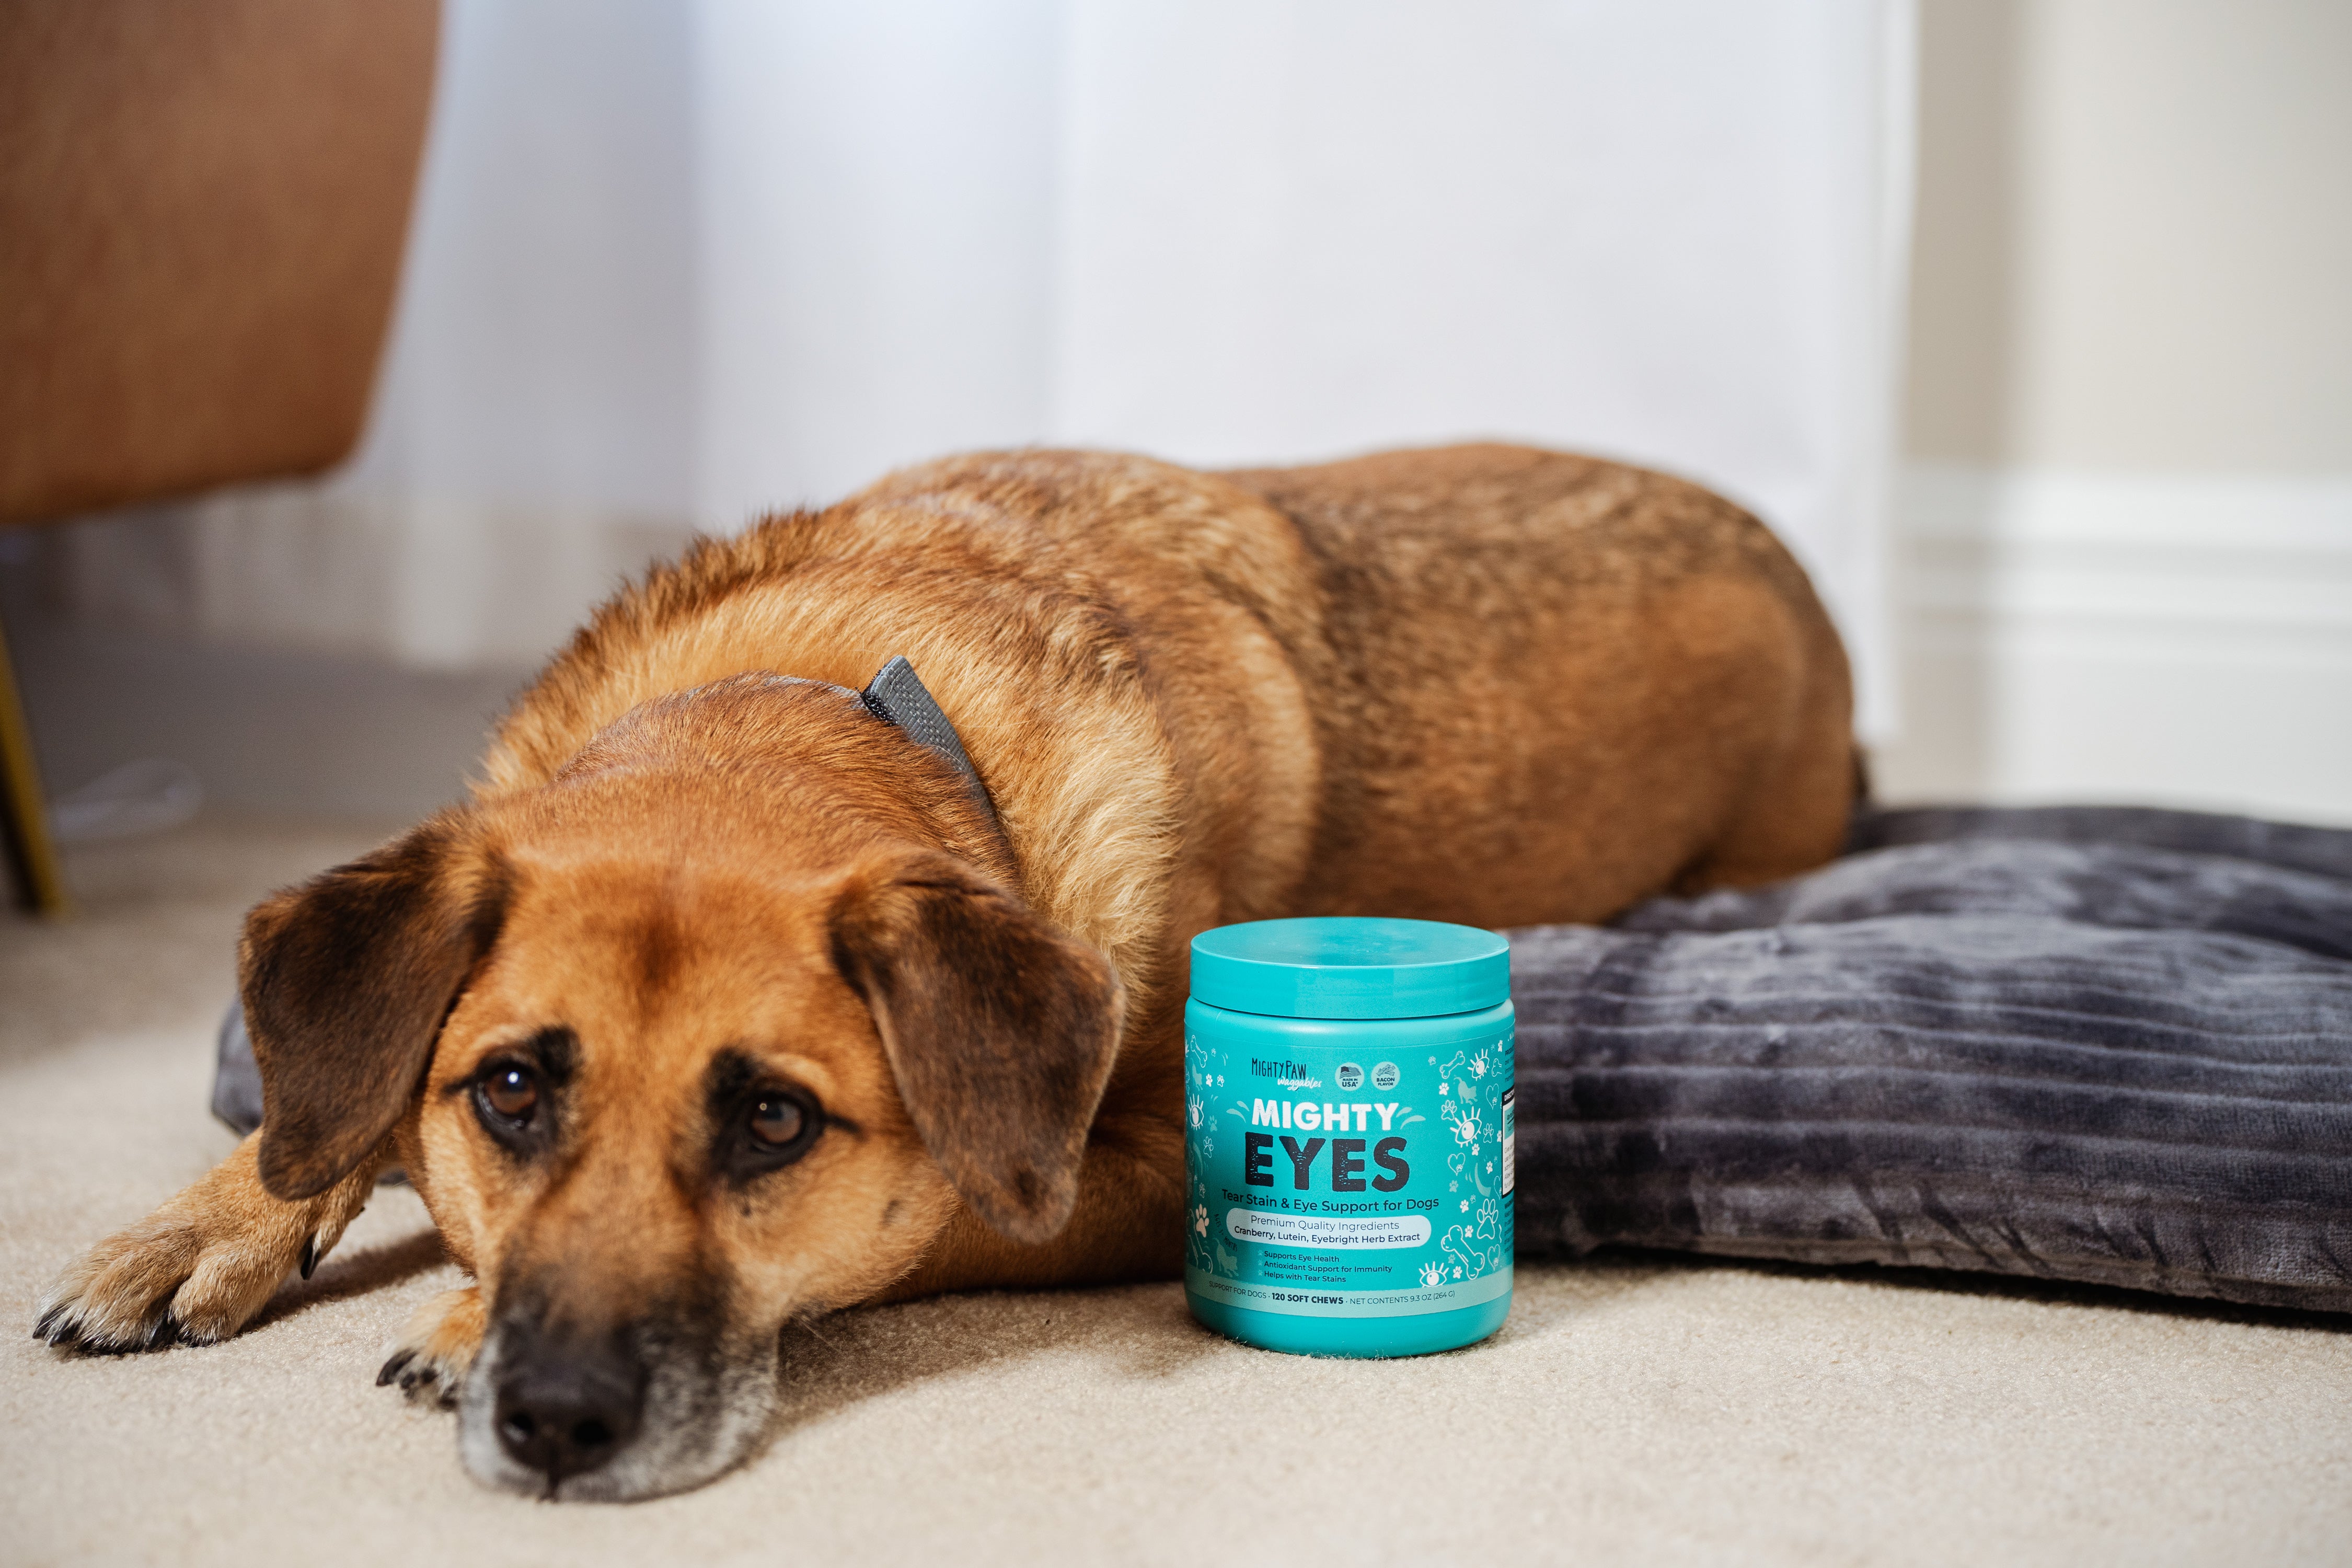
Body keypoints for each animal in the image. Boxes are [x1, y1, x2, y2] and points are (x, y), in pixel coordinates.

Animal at [27, 446, 1844, 1504]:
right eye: (514, 1090)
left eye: (774, 1125)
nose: (552, 1422)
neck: (827, 688)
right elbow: (333, 1111)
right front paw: (203, 1223)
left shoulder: (1137, 1167)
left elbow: (924, 1223)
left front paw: (458, 1307)